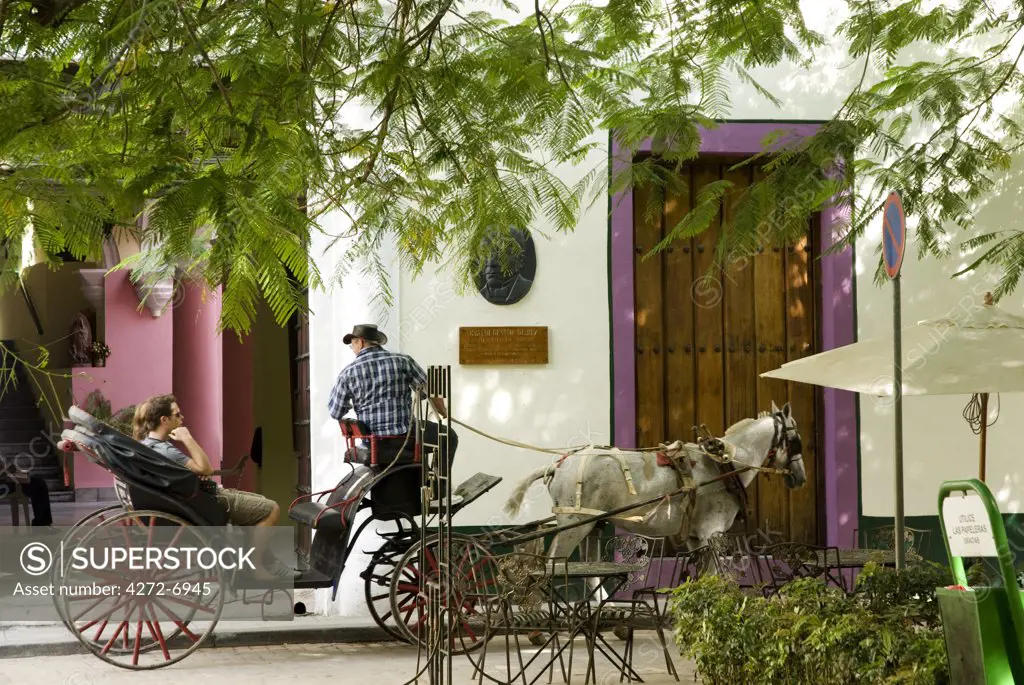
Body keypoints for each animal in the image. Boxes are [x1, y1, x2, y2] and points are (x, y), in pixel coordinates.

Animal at [503, 403, 806, 557]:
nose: (801, 477)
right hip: (574, 524)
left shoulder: (695, 536)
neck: (724, 463)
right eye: (795, 440)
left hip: (590, 524)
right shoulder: (713, 531)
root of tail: (558, 464)